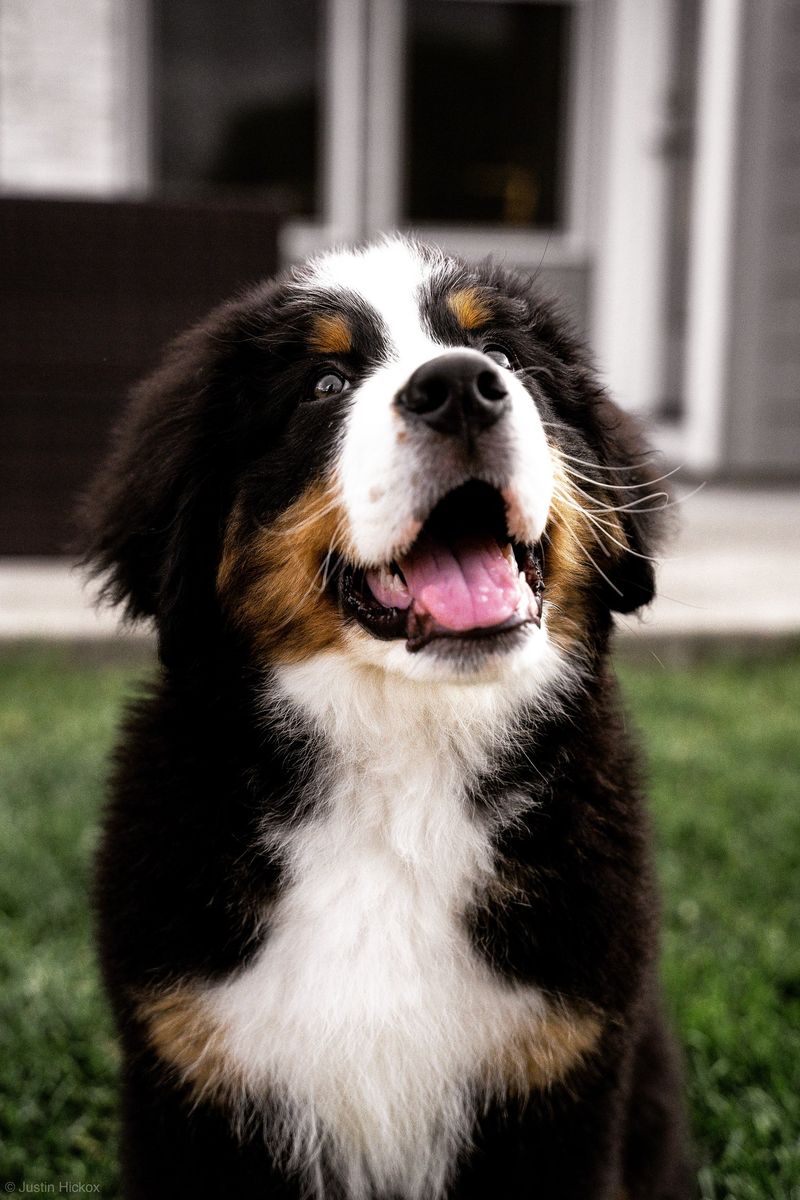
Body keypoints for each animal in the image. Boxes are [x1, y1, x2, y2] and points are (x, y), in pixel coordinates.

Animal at [82, 236, 695, 1200]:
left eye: (505, 355)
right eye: (324, 384)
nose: (461, 386)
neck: (403, 769)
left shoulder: (565, 1077)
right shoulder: (189, 1067)